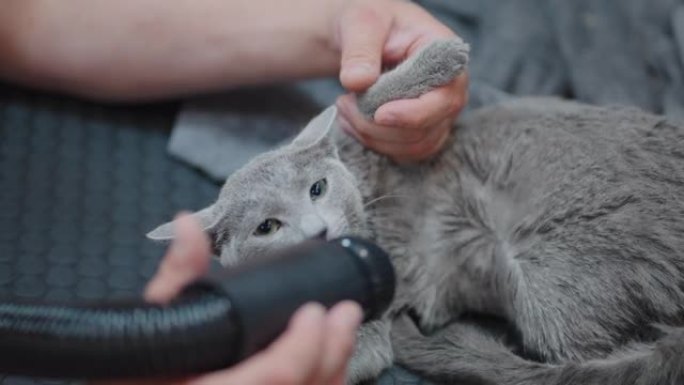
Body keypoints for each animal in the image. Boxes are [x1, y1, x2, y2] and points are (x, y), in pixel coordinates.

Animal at [148, 39, 684, 384]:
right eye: (267, 227)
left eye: (318, 189)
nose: (318, 230)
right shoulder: (367, 322)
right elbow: (358, 354)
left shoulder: (373, 143)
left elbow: (365, 101)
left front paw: (439, 55)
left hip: (546, 279)